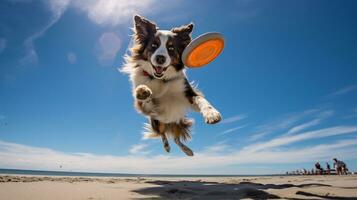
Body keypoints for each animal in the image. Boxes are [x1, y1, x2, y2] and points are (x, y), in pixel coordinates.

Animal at [121, 15, 221, 156]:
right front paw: (143, 91)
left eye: (171, 48)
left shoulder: (188, 93)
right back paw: (167, 146)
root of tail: (170, 124)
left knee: (176, 138)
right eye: (154, 45)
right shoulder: (150, 110)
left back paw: (187, 150)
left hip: (179, 122)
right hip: (157, 123)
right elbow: (146, 99)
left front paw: (211, 114)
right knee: (163, 134)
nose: (160, 58)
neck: (162, 79)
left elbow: (201, 99)